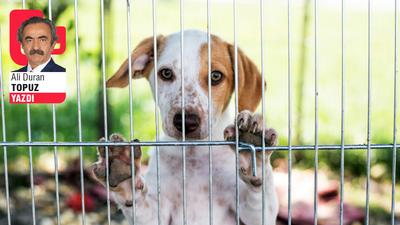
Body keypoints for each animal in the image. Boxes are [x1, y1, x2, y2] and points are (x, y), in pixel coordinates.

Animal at [91, 29, 278, 225]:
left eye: (216, 76)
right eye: (166, 73)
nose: (186, 122)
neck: (193, 153)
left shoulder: (252, 214)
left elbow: (261, 194)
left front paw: (253, 152)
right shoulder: (158, 212)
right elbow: (137, 201)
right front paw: (123, 175)